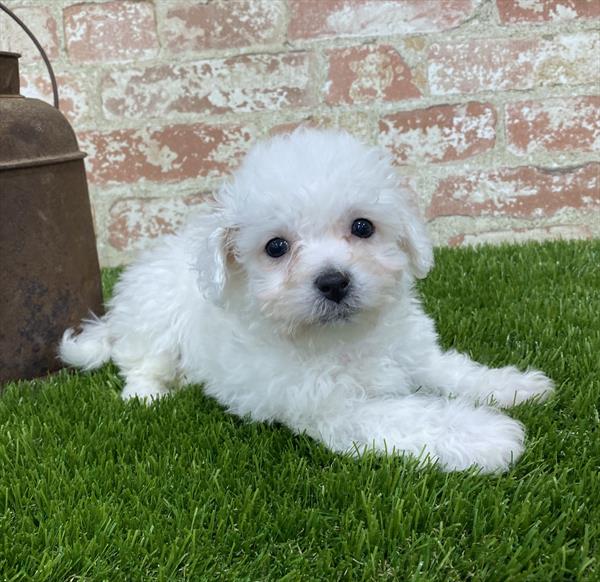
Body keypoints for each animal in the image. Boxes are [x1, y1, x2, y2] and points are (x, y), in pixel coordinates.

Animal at [61, 129, 552, 474]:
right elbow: (413, 414)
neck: (343, 337)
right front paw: (487, 436)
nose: (333, 282)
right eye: (276, 247)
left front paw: (512, 386)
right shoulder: (338, 408)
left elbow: (449, 369)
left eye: (362, 227)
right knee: (139, 362)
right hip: (156, 320)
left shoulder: (412, 353)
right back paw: (148, 395)